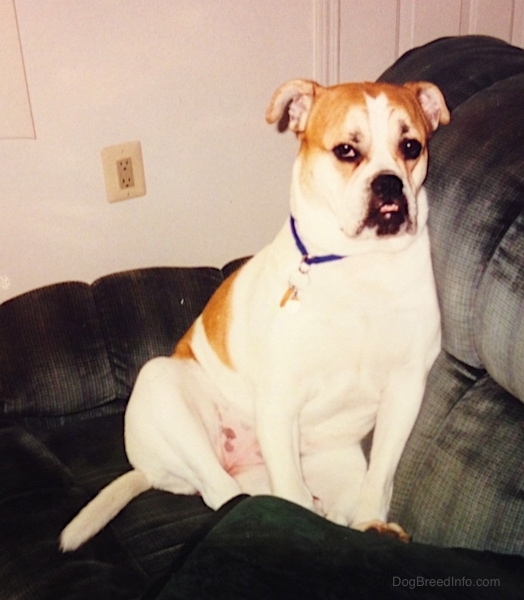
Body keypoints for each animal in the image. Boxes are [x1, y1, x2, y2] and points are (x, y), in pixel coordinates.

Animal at [60, 77, 446, 552]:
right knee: (220, 491)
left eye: (411, 146)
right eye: (346, 151)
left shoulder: (405, 389)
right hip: (162, 385)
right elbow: (291, 495)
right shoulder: (281, 398)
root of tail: (147, 471)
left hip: (335, 467)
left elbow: (381, 480)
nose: (390, 184)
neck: (360, 264)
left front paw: (373, 525)